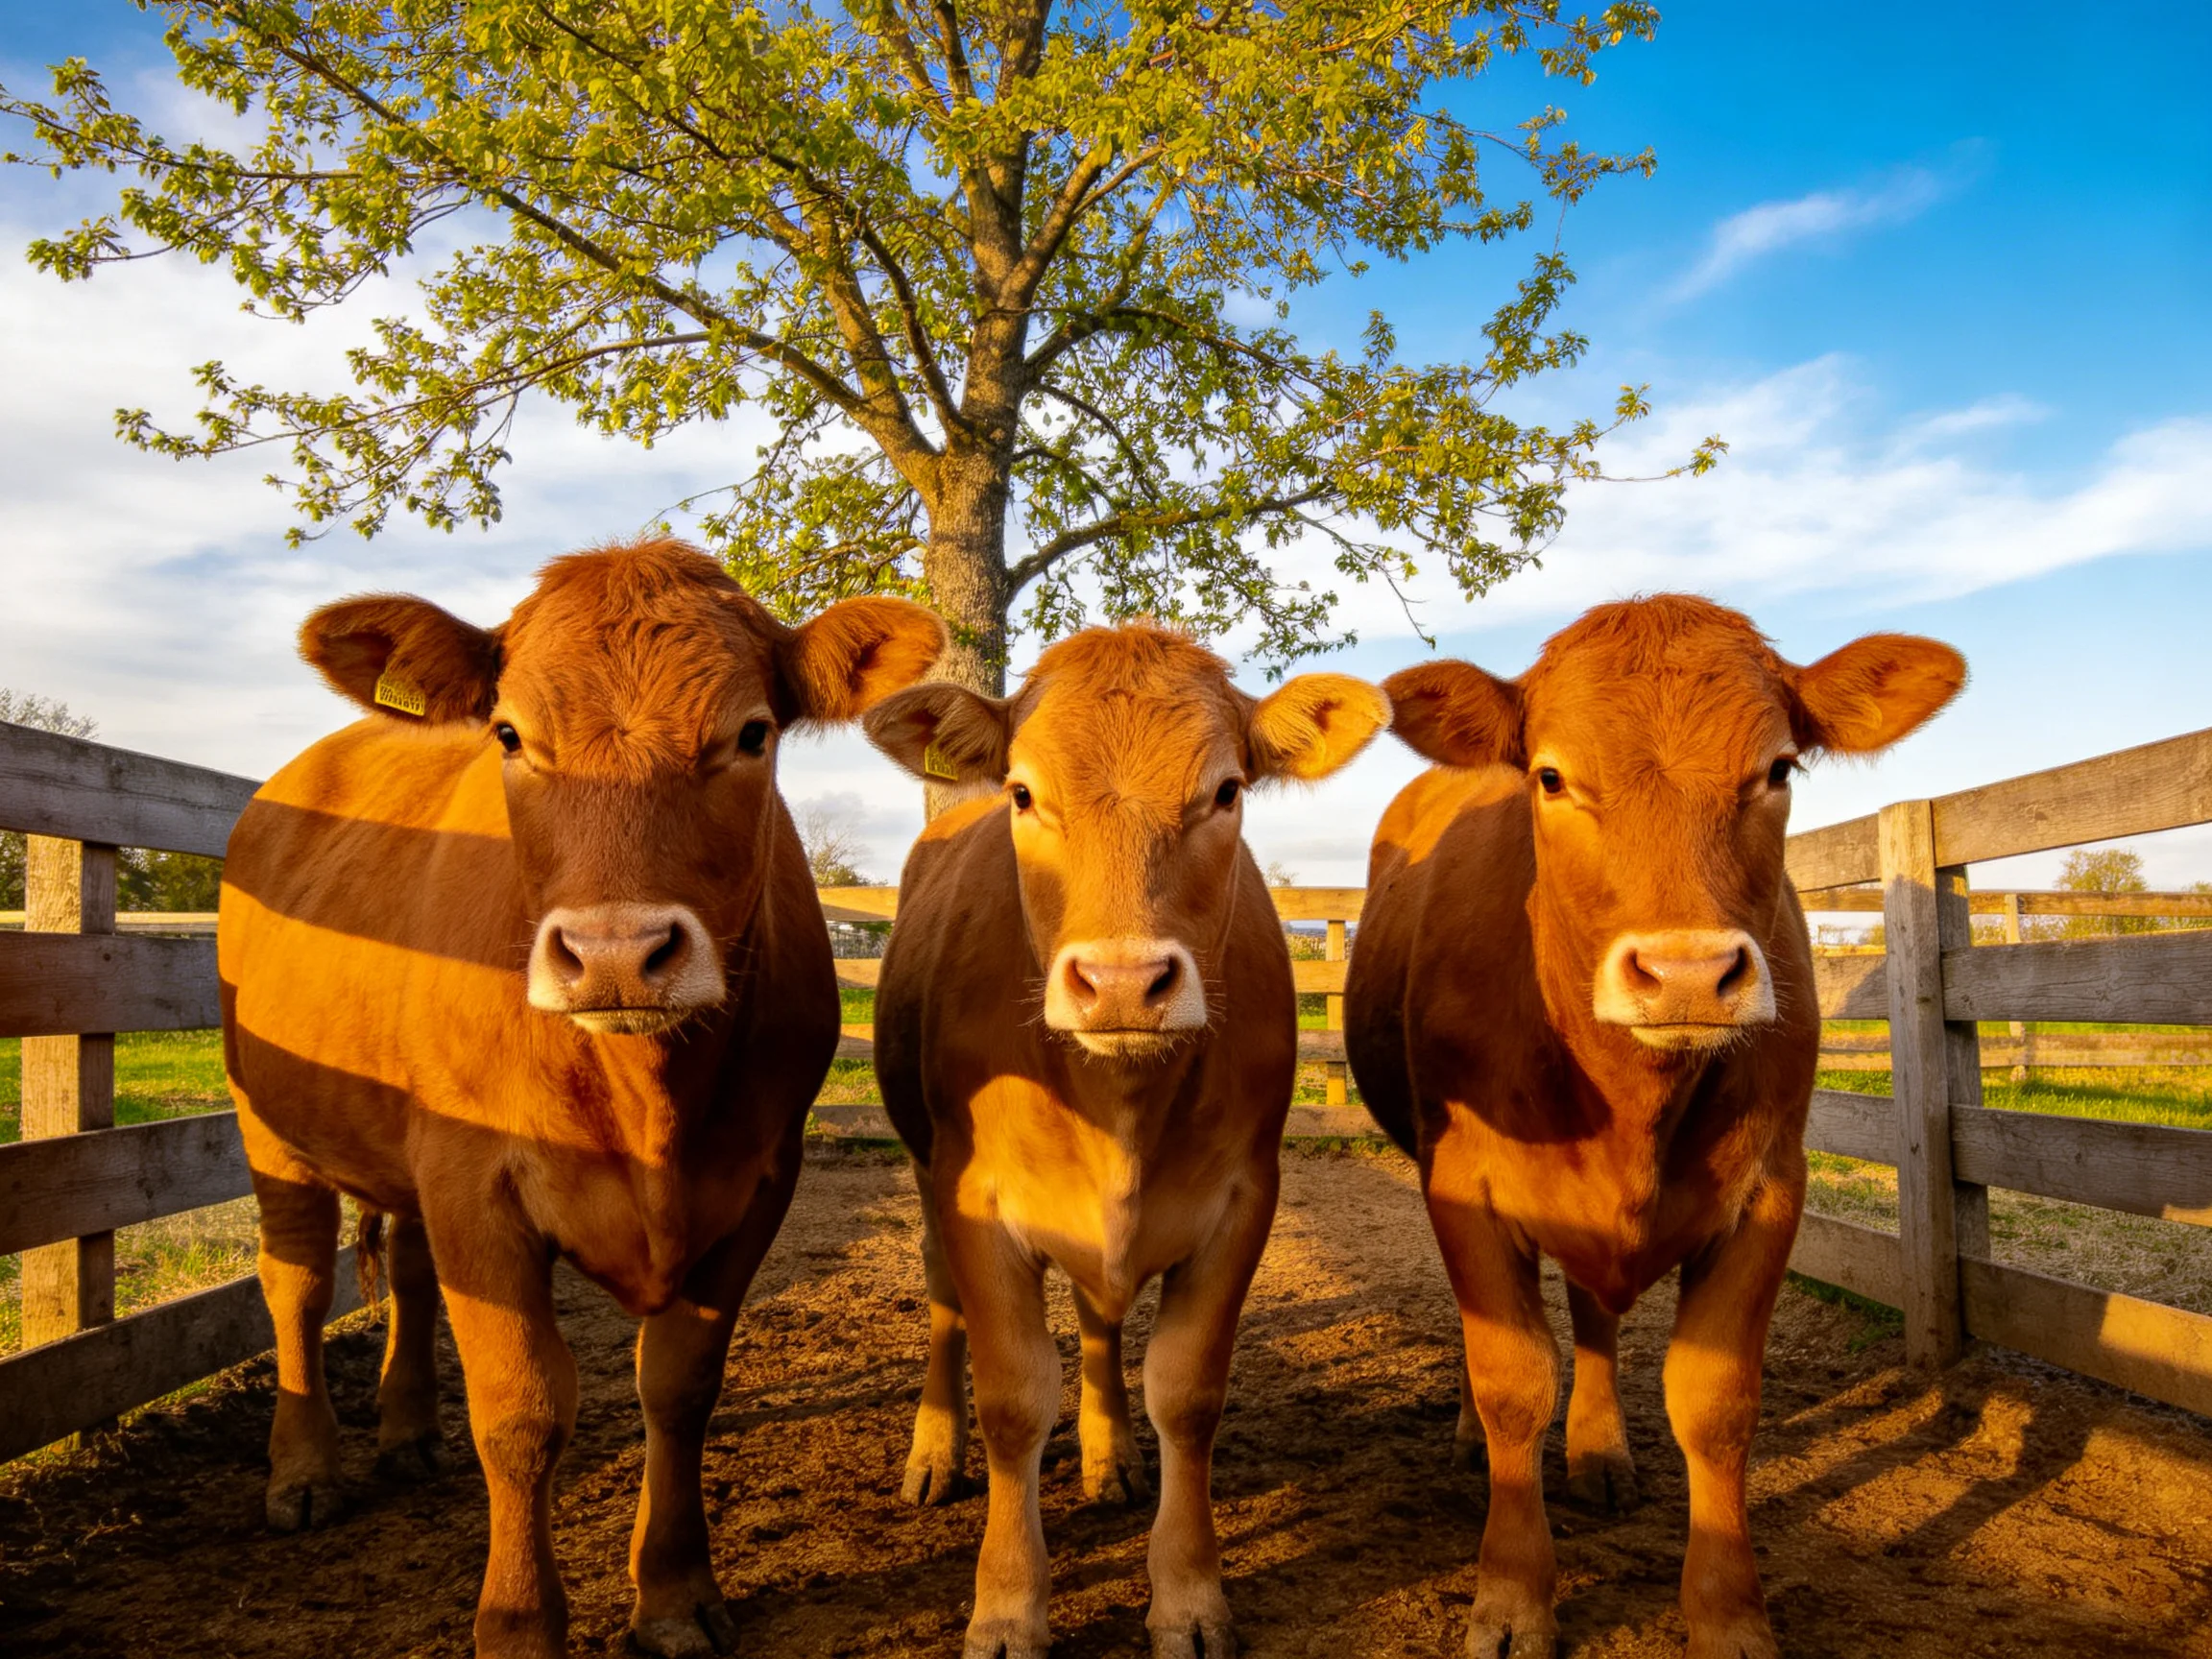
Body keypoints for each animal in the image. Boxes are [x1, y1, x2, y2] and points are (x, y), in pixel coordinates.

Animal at [218, 539, 944, 1659]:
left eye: (751, 733)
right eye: (511, 734)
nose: (614, 953)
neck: (649, 1105)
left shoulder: (754, 1181)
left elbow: (679, 1387)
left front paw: (675, 1595)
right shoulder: (476, 1183)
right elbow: (520, 1411)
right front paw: (518, 1620)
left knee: (410, 1271)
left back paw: (408, 1433)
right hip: (269, 1125)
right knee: (293, 1281)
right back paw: (303, 1474)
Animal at [860, 625, 1389, 1659]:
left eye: (1225, 791)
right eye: (1023, 793)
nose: (1120, 982)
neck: (1121, 1109)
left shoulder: (1242, 1201)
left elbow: (1185, 1394)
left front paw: (1187, 1595)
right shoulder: (973, 1198)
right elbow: (1014, 1399)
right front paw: (1007, 1606)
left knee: (1101, 1318)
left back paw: (1111, 1458)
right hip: (924, 1170)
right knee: (943, 1303)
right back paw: (934, 1453)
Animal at [1344, 596, 1964, 1659]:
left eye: (1778, 770)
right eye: (1551, 776)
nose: (1686, 973)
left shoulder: (1768, 1189)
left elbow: (1713, 1403)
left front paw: (1726, 1612)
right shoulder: (1462, 1182)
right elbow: (1512, 1379)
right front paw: (1512, 1597)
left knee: (1596, 1314)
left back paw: (1598, 1452)